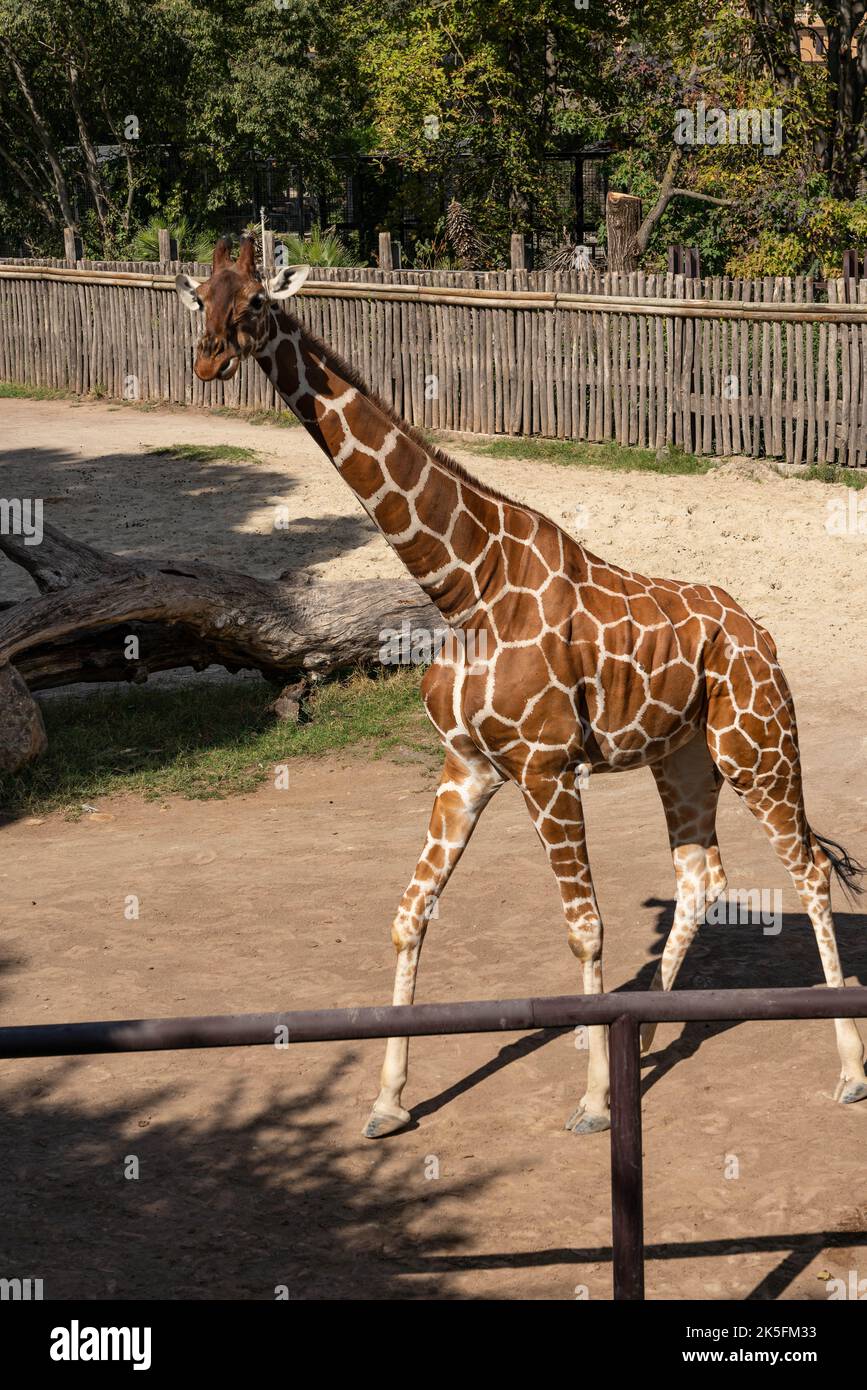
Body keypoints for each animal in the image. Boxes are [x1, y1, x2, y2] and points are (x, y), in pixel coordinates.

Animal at [175, 237, 867, 1138]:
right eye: (201, 299)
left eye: (257, 300)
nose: (208, 360)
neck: (462, 584)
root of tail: (760, 632)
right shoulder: (466, 765)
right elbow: (408, 914)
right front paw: (387, 1102)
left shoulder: (545, 768)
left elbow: (584, 929)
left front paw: (594, 1103)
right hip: (682, 758)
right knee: (700, 877)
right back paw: (649, 1035)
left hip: (757, 748)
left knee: (809, 872)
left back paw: (847, 1071)